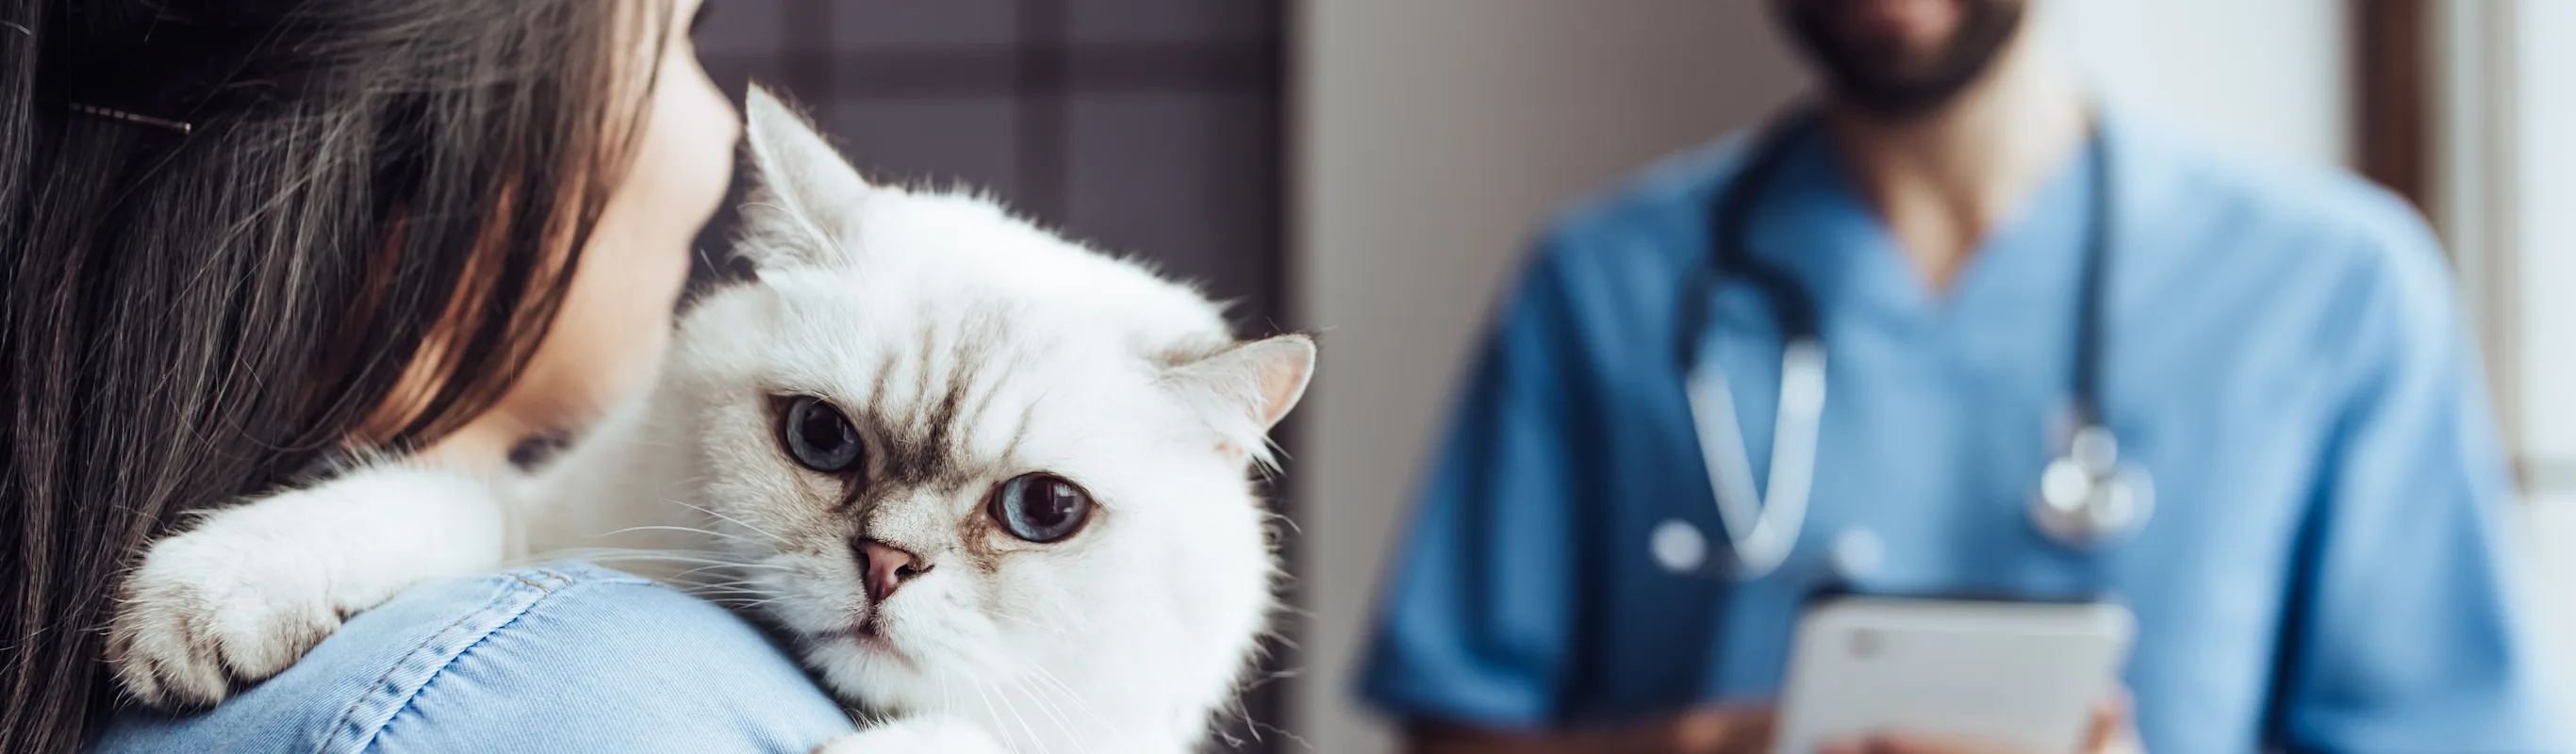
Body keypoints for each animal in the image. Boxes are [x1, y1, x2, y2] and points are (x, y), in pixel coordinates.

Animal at [106, 87, 1308, 751]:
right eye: (820, 438)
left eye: (1043, 509)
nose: (885, 564)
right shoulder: (551, 526)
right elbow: (428, 498)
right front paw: (201, 608)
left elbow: (987, 742)